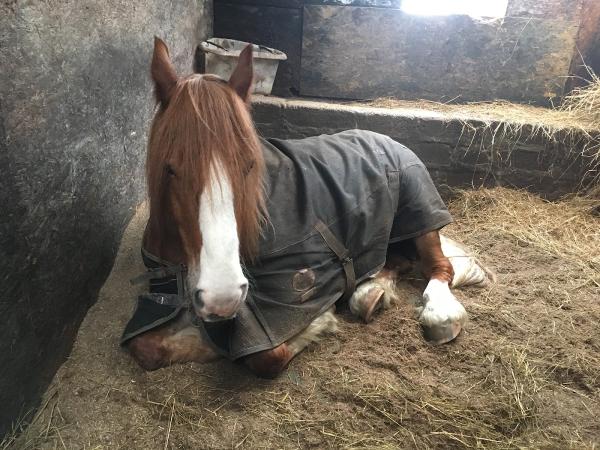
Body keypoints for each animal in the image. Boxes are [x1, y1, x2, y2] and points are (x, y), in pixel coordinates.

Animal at [119, 38, 494, 378]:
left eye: (250, 164)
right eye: (169, 168)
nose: (221, 295)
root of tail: (386, 137)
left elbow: (265, 357)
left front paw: (321, 321)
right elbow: (146, 347)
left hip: (421, 217)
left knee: (439, 267)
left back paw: (438, 314)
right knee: (395, 261)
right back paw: (371, 292)